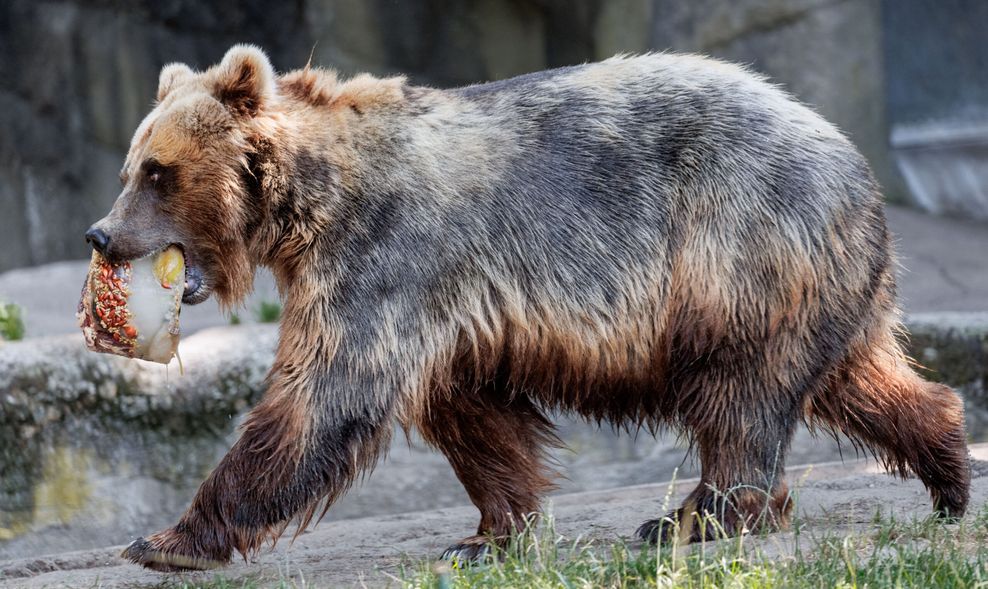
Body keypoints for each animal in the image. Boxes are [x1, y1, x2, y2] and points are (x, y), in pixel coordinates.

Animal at [83, 44, 964, 568]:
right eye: (132, 166)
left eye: (156, 171)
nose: (101, 233)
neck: (313, 201)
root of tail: (854, 162)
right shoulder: (450, 308)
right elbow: (472, 411)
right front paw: (490, 532)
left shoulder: (389, 258)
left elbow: (325, 396)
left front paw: (165, 538)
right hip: (817, 280)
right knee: (854, 378)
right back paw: (948, 470)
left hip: (736, 243)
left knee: (738, 393)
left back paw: (693, 516)